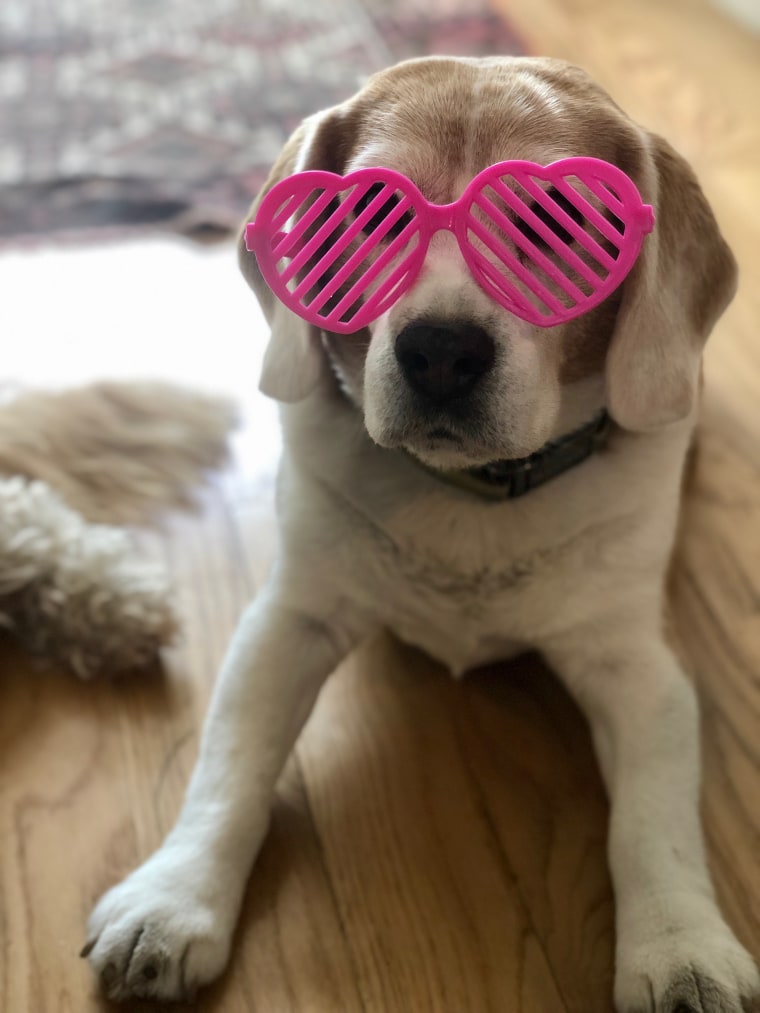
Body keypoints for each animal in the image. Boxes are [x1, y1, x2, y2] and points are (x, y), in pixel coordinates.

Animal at [83, 57, 760, 1013]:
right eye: (371, 210)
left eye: (558, 220)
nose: (440, 350)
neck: (472, 496)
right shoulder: (286, 624)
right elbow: (228, 769)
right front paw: (172, 900)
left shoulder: (640, 671)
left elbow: (652, 820)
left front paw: (681, 950)